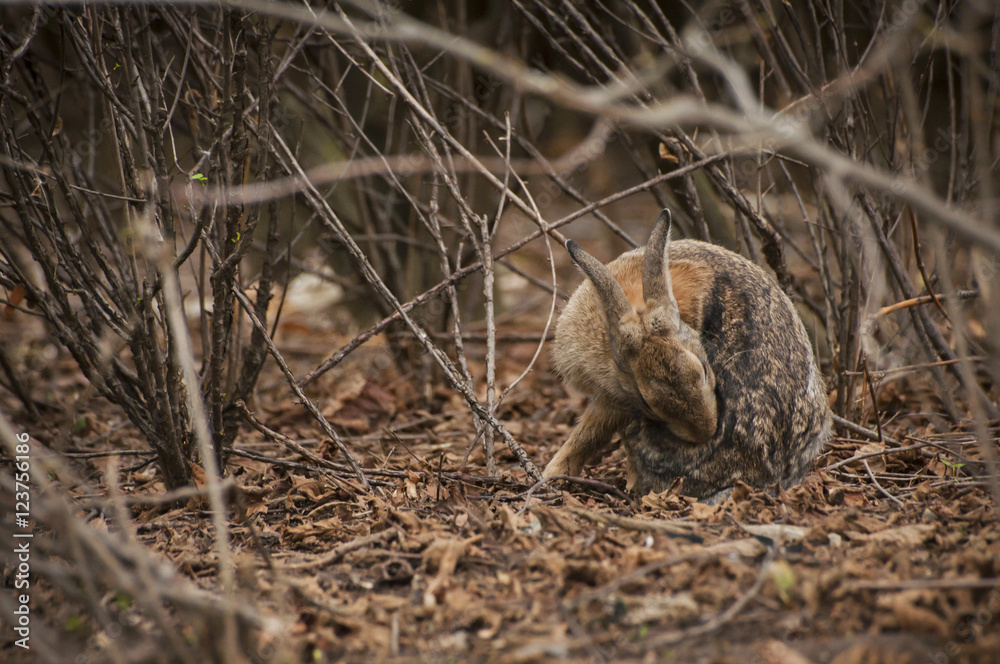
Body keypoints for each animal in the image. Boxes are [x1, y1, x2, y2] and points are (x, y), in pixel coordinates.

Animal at [545, 209, 831, 503]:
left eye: (704, 369)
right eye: (648, 403)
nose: (707, 431)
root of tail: (767, 475)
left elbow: (590, 432)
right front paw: (552, 474)